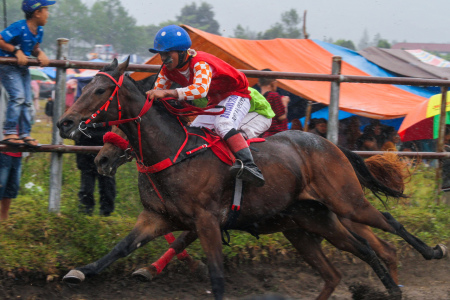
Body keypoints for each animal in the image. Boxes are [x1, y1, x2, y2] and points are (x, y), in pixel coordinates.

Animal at [57, 58, 446, 300]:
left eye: (100, 91)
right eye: (85, 85)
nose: (64, 122)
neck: (173, 151)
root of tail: (328, 143)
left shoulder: (206, 220)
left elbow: (215, 274)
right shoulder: (157, 217)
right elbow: (120, 248)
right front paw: (82, 272)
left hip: (346, 202)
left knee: (389, 225)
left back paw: (430, 253)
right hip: (308, 223)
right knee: (348, 262)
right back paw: (388, 284)